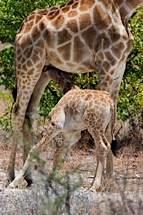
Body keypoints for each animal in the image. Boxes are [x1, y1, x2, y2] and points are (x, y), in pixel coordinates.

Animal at [6, 0, 143, 186]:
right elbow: (105, 129)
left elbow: (110, 127)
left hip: (43, 70)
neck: (124, 8)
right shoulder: (106, 63)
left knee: (29, 111)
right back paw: (11, 175)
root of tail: (20, 30)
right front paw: (98, 183)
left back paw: (28, 177)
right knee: (18, 110)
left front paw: (110, 182)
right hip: (28, 64)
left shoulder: (119, 66)